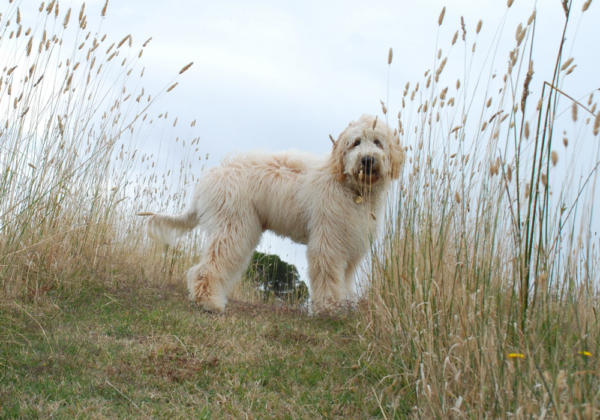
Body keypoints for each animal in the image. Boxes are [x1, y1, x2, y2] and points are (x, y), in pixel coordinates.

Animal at [148, 115, 406, 312]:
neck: (350, 186)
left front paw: (344, 305)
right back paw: (208, 302)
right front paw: (329, 307)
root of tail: (210, 177)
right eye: (356, 142)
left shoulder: (351, 244)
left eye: (378, 142)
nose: (367, 160)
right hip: (233, 228)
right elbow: (329, 275)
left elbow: (346, 279)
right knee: (207, 267)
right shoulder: (328, 242)